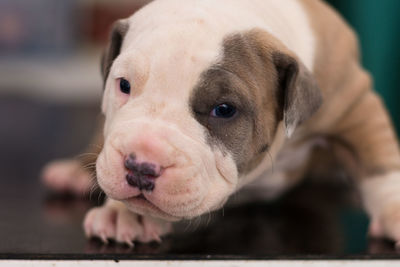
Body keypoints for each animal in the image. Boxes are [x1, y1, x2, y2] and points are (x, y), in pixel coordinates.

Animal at [41, 0, 400, 247]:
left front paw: (394, 210)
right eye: (124, 85)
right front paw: (126, 213)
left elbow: (379, 163)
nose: (140, 166)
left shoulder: (355, 104)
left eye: (224, 109)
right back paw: (73, 173)